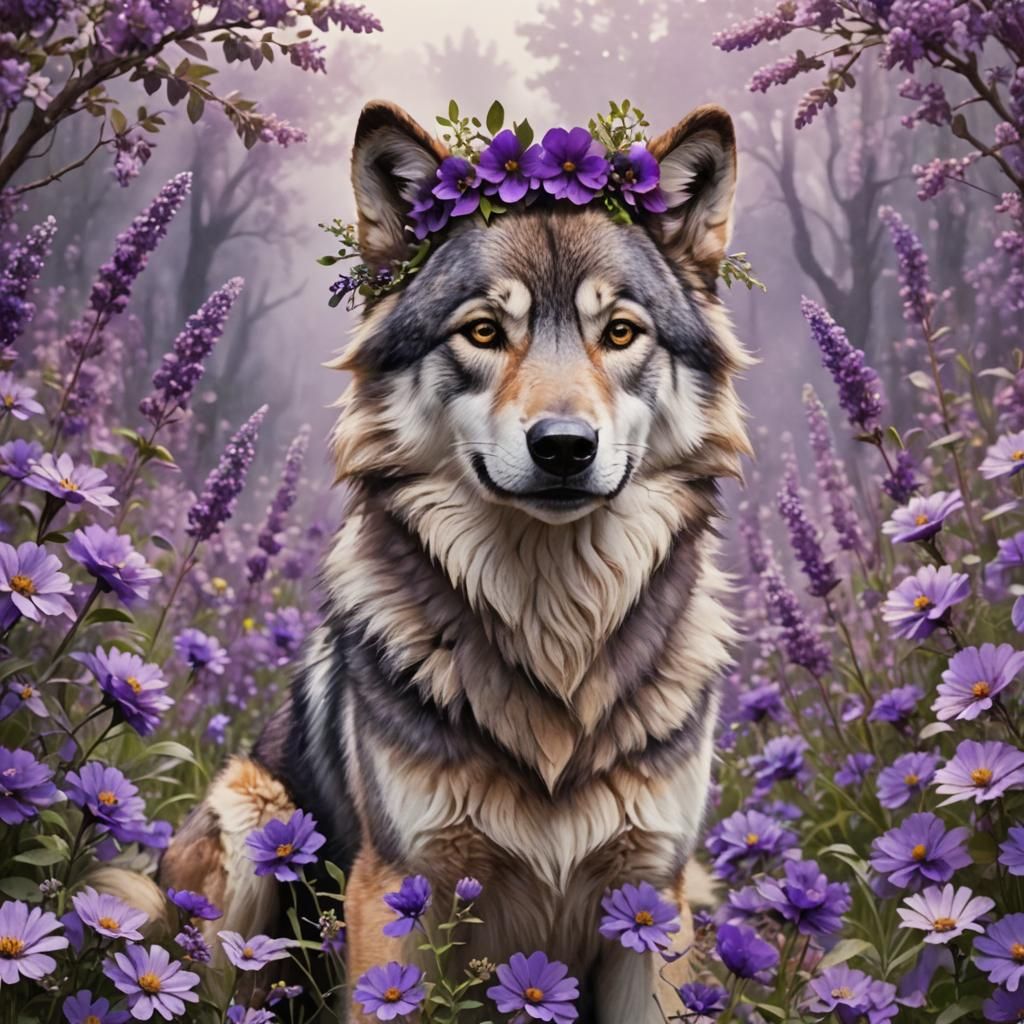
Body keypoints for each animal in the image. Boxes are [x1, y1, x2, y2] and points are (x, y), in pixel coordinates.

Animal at [159, 99, 752, 1023]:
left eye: (621, 333)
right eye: (483, 331)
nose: (564, 447)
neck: (553, 624)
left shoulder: (653, 901)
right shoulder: (398, 890)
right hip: (251, 816)